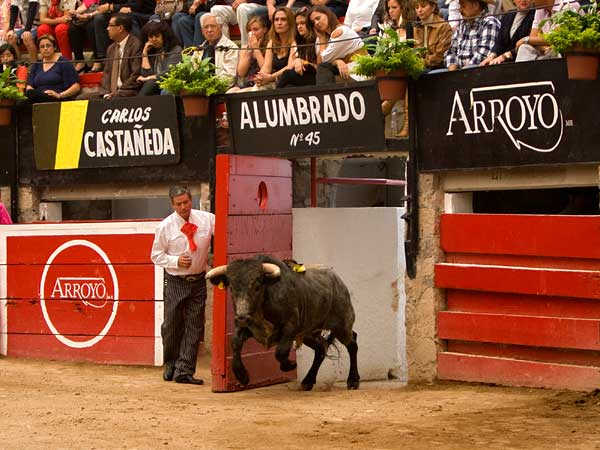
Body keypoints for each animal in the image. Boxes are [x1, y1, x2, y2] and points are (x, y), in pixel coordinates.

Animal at [206, 256, 358, 390]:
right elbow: (235, 342)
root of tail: (338, 280)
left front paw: (290, 365)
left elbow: (280, 351)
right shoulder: (246, 326)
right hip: (309, 333)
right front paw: (242, 376)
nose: (242, 317)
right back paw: (308, 381)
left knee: (352, 343)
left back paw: (353, 381)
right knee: (322, 347)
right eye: (231, 288)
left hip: (342, 326)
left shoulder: (290, 327)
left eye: (257, 286)